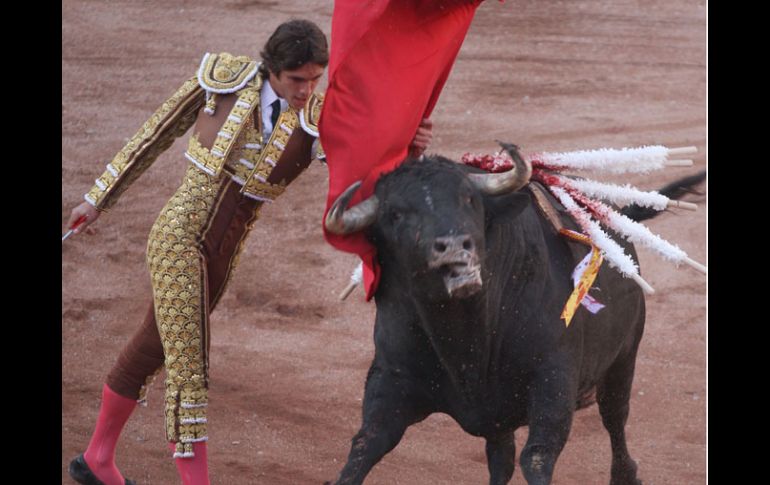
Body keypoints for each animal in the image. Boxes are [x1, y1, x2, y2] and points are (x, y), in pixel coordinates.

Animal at [322, 148, 696, 484]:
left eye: (469, 200)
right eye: (396, 214)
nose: (454, 246)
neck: (463, 333)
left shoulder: (553, 378)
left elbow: (537, 456)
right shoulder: (391, 376)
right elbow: (365, 446)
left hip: (623, 359)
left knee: (615, 417)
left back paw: (626, 474)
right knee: (501, 456)